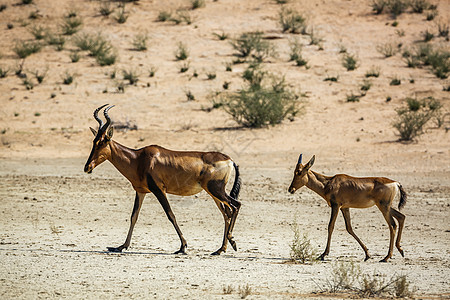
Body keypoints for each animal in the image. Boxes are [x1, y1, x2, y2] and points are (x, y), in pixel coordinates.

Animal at [82, 104, 241, 254]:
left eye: (102, 142)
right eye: (94, 141)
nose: (87, 167)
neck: (139, 158)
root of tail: (230, 160)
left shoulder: (159, 190)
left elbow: (171, 215)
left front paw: (183, 247)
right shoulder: (141, 192)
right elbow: (134, 216)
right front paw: (121, 246)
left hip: (216, 190)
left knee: (235, 206)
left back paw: (232, 241)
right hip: (214, 193)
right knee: (226, 214)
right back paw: (220, 249)